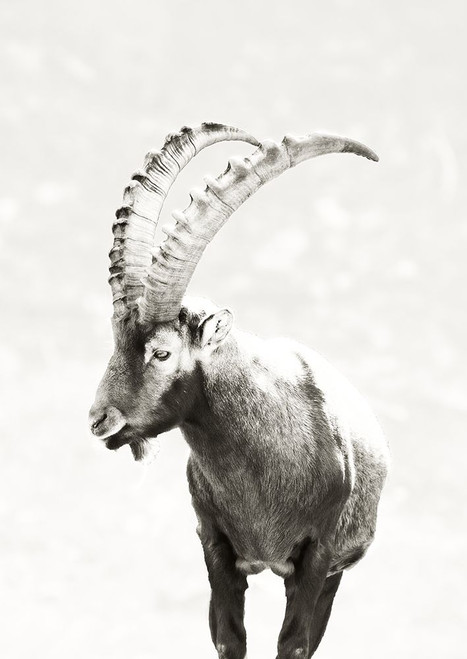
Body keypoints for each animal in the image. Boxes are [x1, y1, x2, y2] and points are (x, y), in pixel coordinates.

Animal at [89, 123, 389, 659]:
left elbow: (293, 644)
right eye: (116, 339)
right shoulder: (215, 546)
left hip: (335, 574)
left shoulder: (318, 556)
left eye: (162, 352)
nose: (101, 420)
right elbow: (229, 639)